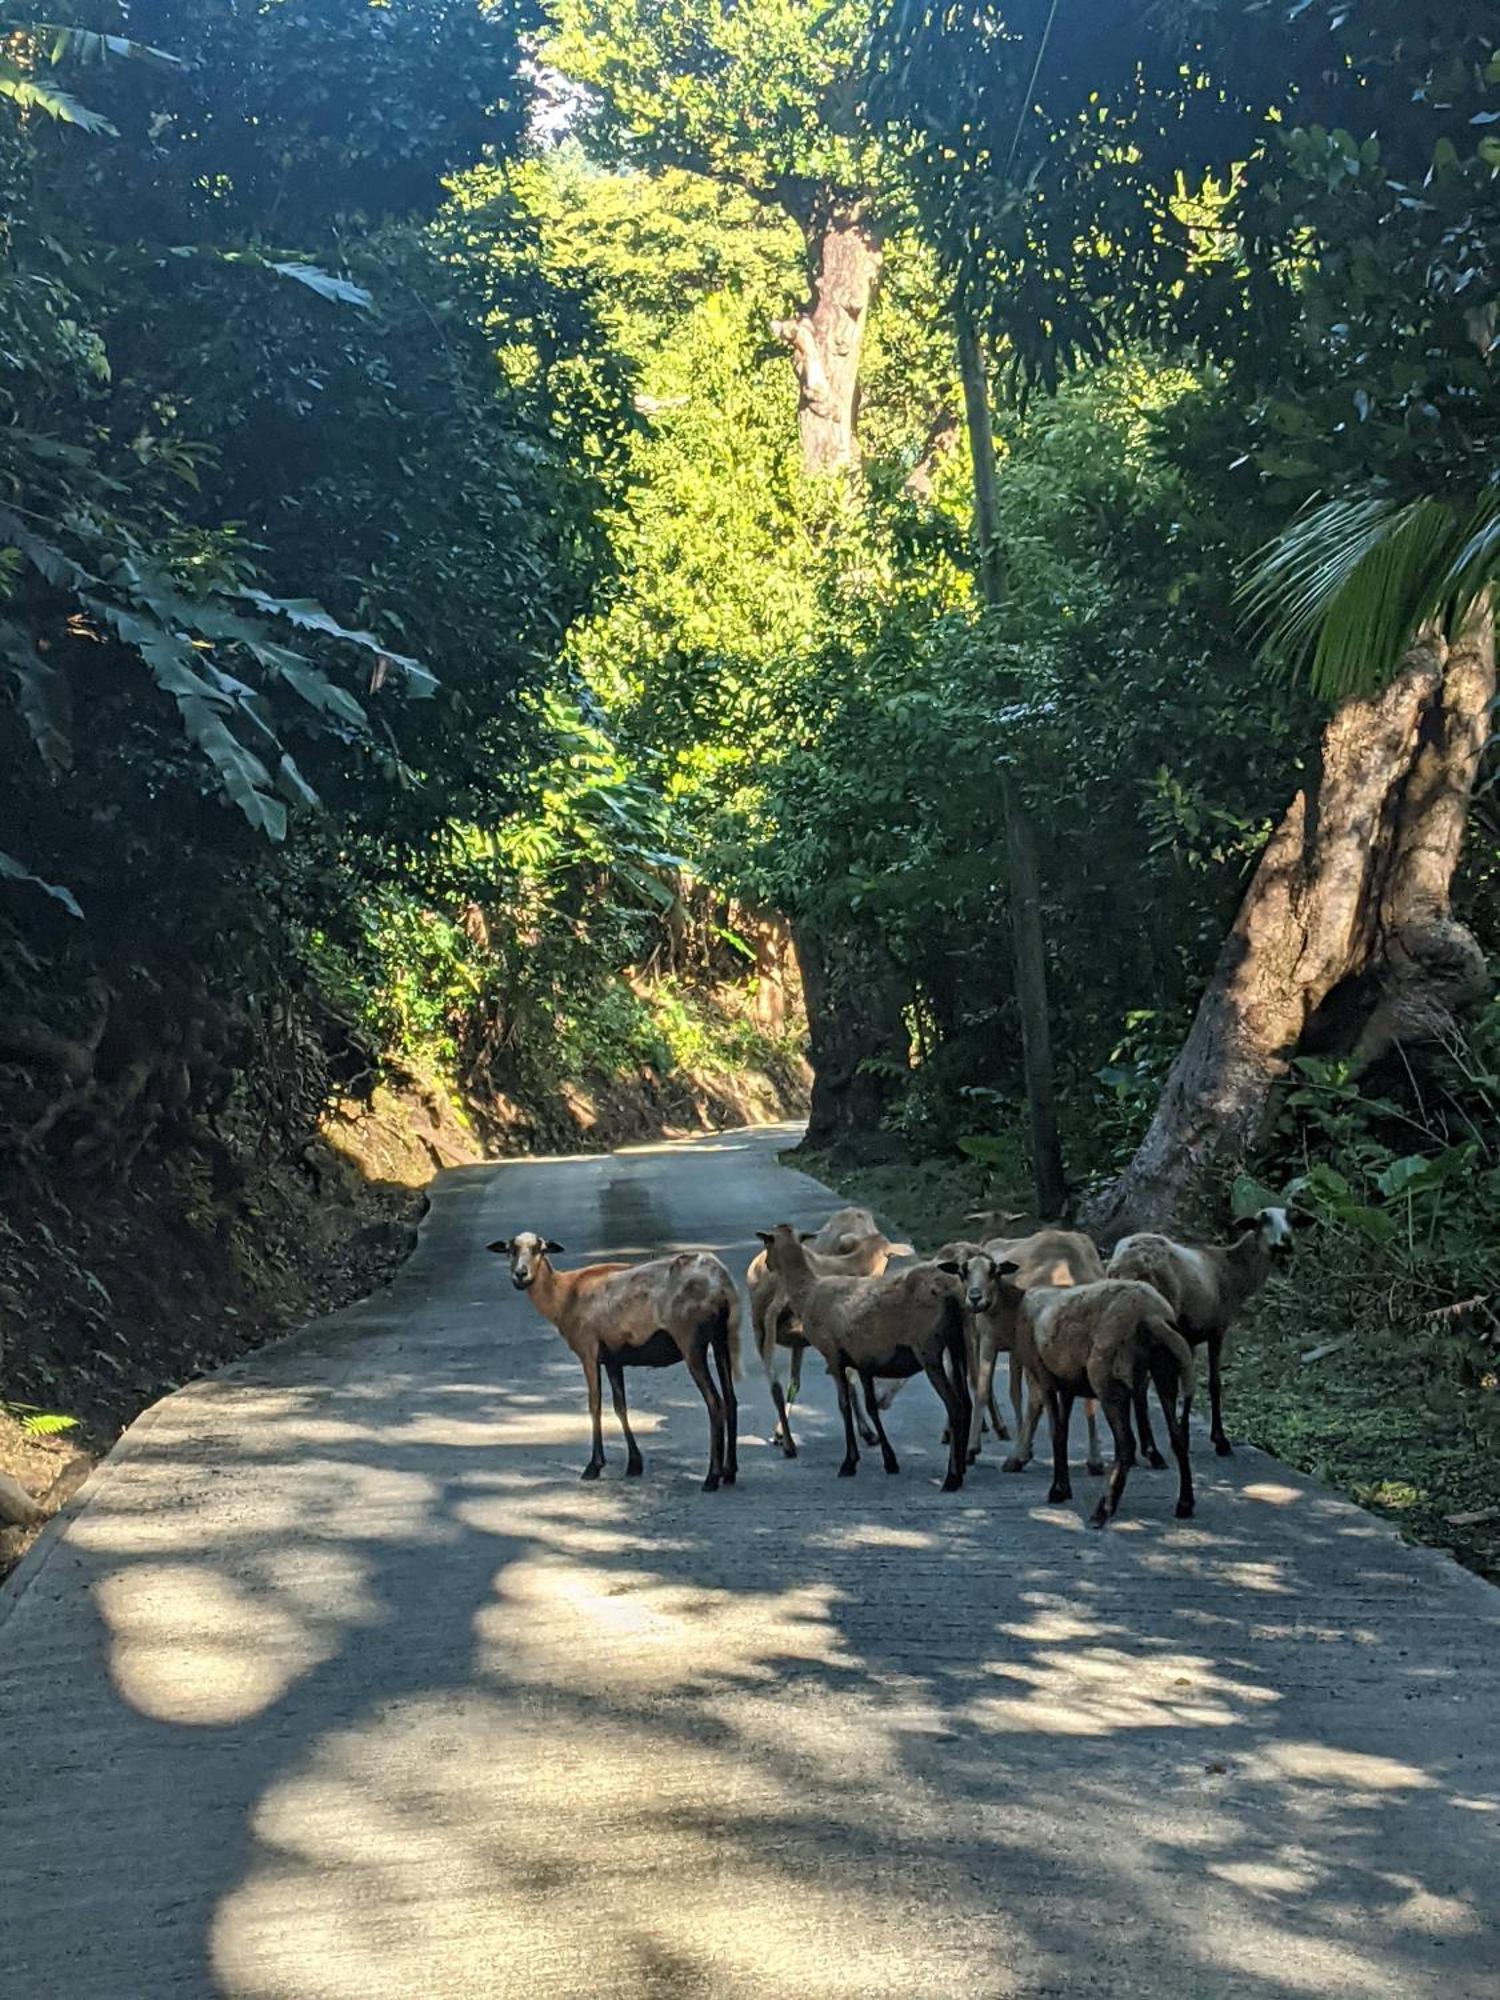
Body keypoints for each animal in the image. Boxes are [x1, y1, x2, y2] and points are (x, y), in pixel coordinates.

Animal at [490, 1224, 744, 1496]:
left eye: (540, 1249)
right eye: (510, 1249)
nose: (520, 1275)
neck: (564, 1294)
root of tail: (721, 1282)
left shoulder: (589, 1350)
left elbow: (595, 1405)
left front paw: (593, 1466)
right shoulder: (613, 1358)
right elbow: (620, 1406)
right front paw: (634, 1464)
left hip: (691, 1341)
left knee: (715, 1403)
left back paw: (711, 1477)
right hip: (721, 1337)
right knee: (731, 1400)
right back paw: (730, 1472)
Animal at [764, 1216, 976, 1488]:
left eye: (767, 1243)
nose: (767, 1264)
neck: (808, 1291)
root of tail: (951, 1294)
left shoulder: (834, 1355)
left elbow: (844, 1405)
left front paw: (849, 1462)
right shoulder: (863, 1360)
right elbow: (871, 1406)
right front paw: (890, 1460)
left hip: (930, 1351)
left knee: (955, 1406)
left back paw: (952, 1477)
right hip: (959, 1344)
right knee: (966, 1403)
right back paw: (961, 1467)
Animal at [952, 1256, 1200, 1520]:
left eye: (993, 1271)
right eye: (962, 1272)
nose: (974, 1298)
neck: (1015, 1311)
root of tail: (1151, 1314)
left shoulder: (1044, 1376)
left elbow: (1054, 1431)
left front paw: (1056, 1489)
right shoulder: (1067, 1384)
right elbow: (1063, 1432)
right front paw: (1064, 1488)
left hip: (1108, 1379)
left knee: (1126, 1444)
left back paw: (1103, 1509)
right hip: (1165, 1373)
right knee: (1178, 1437)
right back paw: (1184, 1504)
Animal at [1112, 1200, 1296, 1456]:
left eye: (1290, 1218)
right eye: (1264, 1220)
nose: (1286, 1241)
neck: (1233, 1270)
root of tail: (1131, 1262)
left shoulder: (1190, 1336)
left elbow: (1189, 1384)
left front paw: (1187, 1432)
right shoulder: (1216, 1329)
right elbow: (1213, 1383)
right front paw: (1218, 1439)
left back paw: (1143, 1446)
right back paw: (1152, 1447)